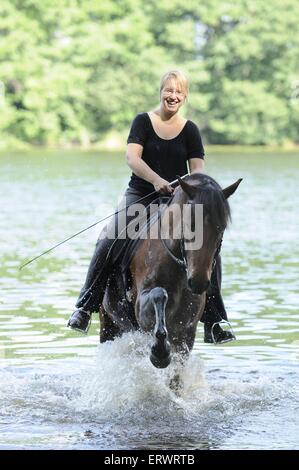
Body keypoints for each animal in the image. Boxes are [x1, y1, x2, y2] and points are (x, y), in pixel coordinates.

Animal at [99, 173, 243, 374]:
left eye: (220, 228)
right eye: (190, 225)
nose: (198, 282)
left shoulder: (186, 331)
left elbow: (177, 372)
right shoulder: (141, 305)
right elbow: (159, 295)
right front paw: (159, 354)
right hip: (109, 325)